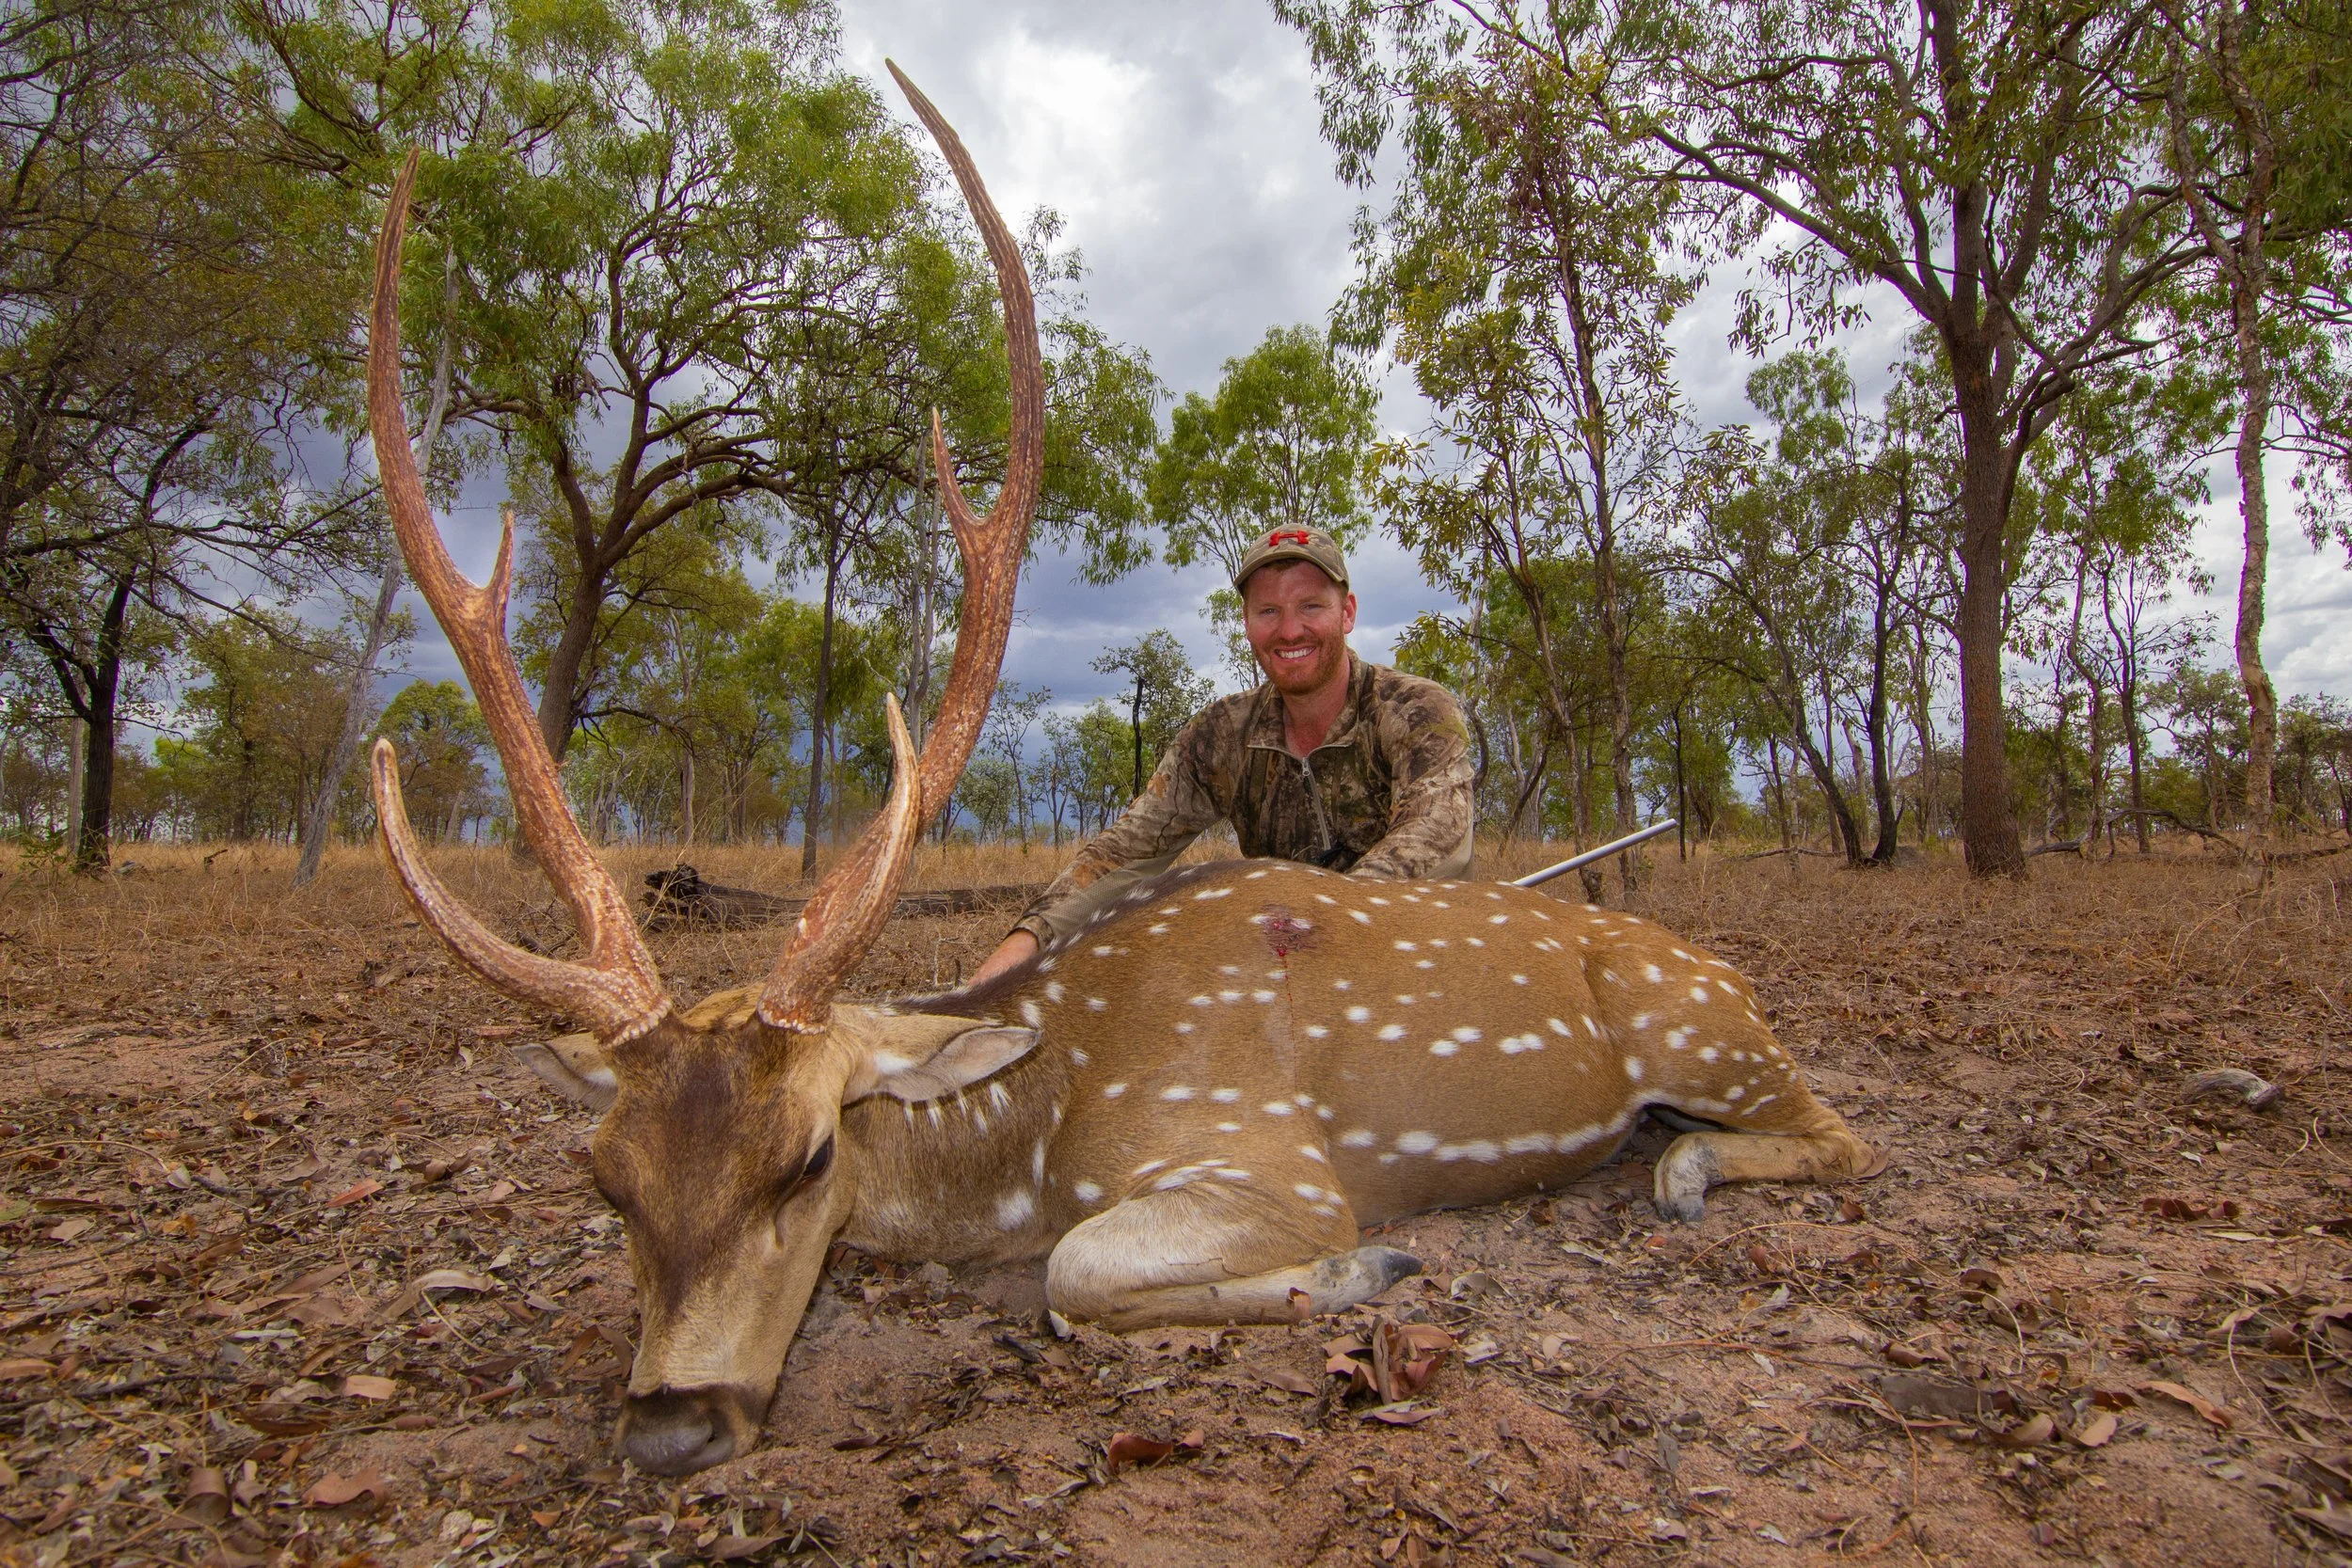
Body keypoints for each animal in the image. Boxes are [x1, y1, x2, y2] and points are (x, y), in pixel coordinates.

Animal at [362, 69, 1881, 1479]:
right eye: (604, 1177)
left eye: (807, 1155)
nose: (673, 1421)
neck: (1038, 1132)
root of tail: (1731, 975)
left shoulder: (1266, 1155)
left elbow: (1076, 1271)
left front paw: (1363, 1269)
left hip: (1705, 1035)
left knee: (1847, 1134)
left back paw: (1682, 1167)